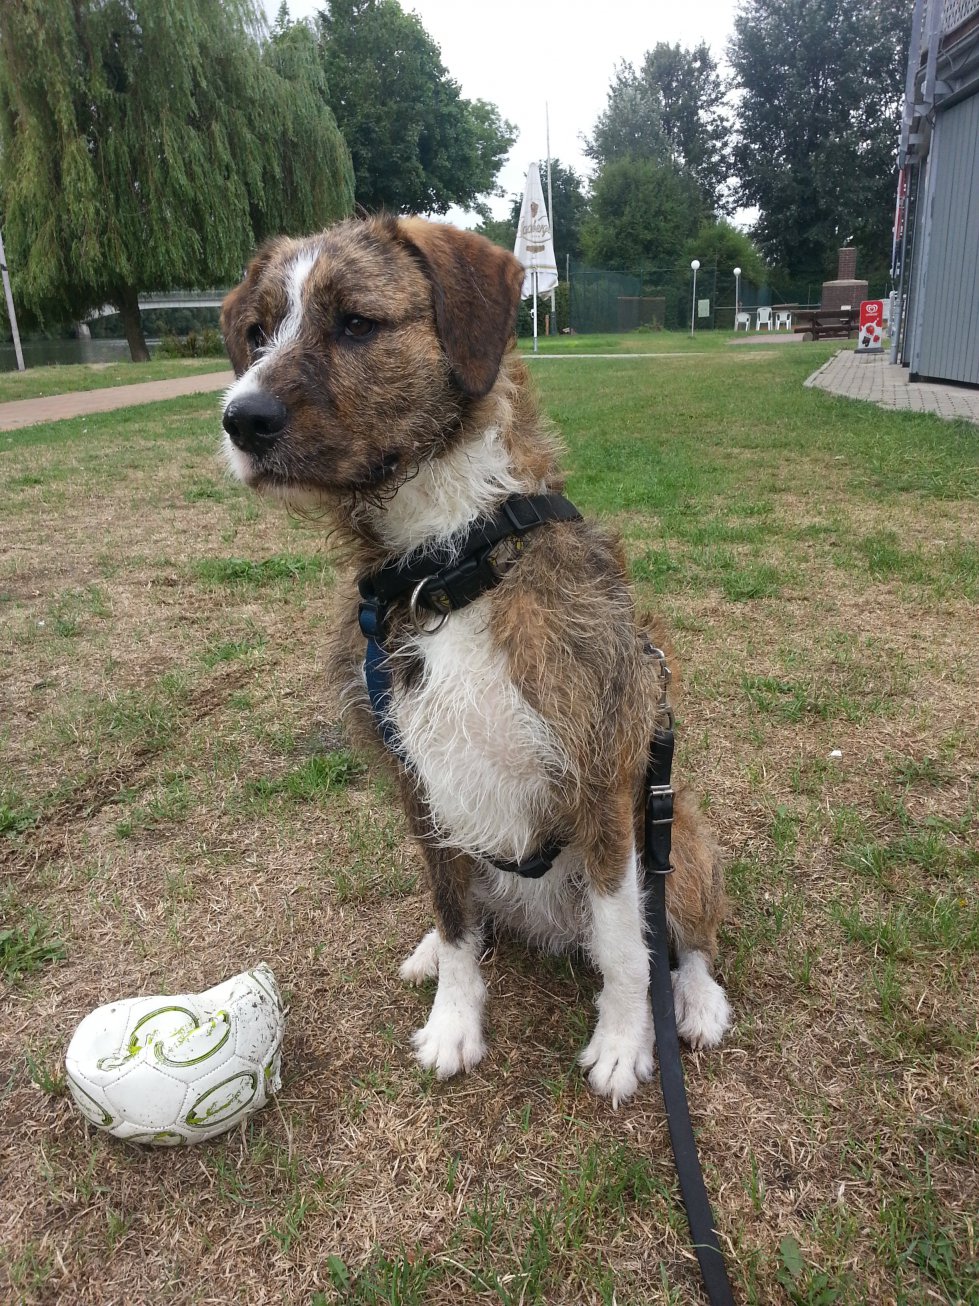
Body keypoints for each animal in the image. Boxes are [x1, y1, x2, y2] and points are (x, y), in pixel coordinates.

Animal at [220, 216, 730, 1102]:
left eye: (356, 322)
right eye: (255, 333)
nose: (239, 418)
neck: (447, 564)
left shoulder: (602, 785)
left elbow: (626, 948)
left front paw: (625, 1043)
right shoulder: (418, 788)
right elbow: (455, 922)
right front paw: (455, 1021)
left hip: (680, 833)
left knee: (681, 936)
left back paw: (696, 1003)